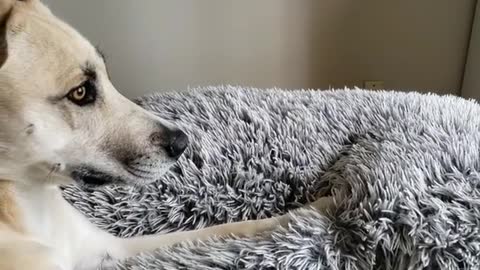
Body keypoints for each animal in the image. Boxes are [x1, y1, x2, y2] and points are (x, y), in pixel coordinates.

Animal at [0, 1, 334, 268]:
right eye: (80, 92)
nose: (182, 143)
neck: (30, 199)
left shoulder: (114, 247)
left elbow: (226, 229)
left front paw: (315, 210)